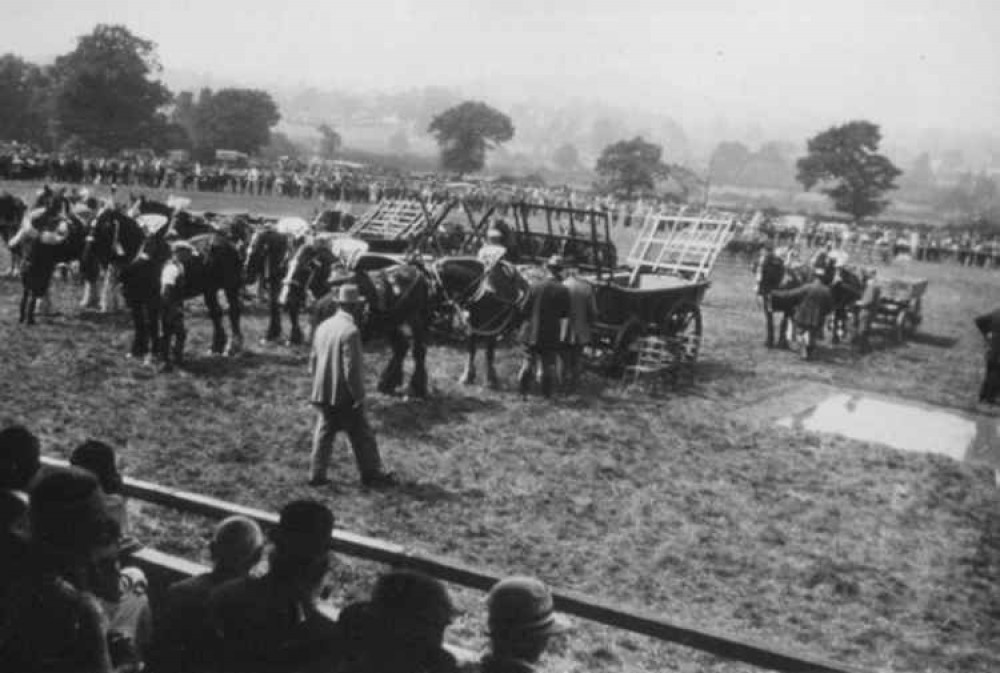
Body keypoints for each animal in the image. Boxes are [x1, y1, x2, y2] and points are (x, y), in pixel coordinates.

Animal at [120, 220, 244, 368]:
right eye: (141, 246)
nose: (124, 274)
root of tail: (230, 245)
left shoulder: (152, 302)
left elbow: (152, 326)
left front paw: (152, 354)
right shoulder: (140, 302)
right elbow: (144, 325)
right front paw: (143, 352)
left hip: (230, 287)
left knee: (234, 312)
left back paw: (232, 348)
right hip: (210, 290)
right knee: (215, 313)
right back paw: (215, 347)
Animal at [284, 239, 436, 396]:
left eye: (305, 269)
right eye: (288, 265)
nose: (287, 299)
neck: (335, 285)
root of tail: (417, 272)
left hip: (415, 319)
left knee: (418, 350)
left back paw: (416, 386)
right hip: (390, 323)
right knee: (401, 346)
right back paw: (387, 383)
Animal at [426, 255, 532, 386]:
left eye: (433, 284)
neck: (482, 291)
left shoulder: (492, 329)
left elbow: (489, 353)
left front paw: (491, 379)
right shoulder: (473, 326)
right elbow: (471, 350)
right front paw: (467, 376)